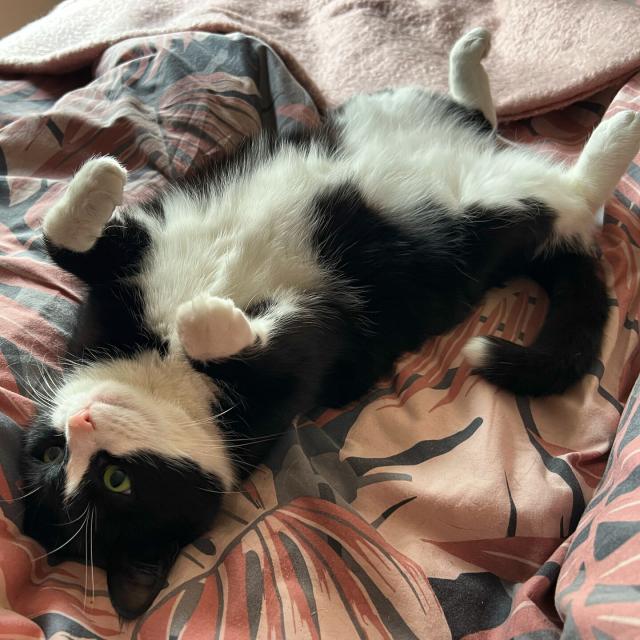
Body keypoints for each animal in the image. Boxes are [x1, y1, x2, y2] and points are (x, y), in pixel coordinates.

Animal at [20, 28, 640, 620]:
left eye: (49, 453)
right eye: (110, 483)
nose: (79, 422)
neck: (164, 372)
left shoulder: (114, 301)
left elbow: (66, 241)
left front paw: (96, 182)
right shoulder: (315, 359)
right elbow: (289, 343)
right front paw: (207, 318)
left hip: (413, 123)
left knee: (480, 118)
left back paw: (475, 61)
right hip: (490, 221)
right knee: (575, 197)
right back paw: (618, 131)